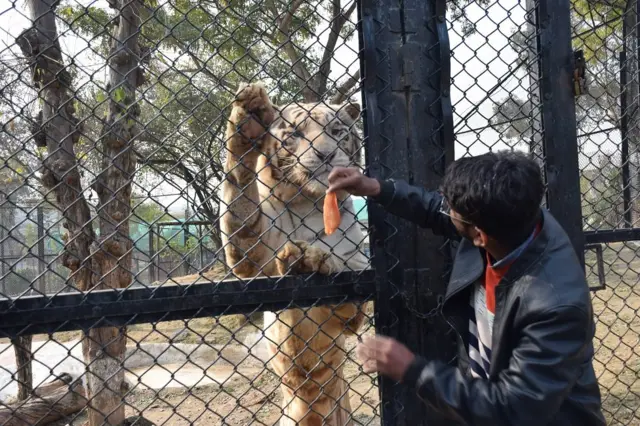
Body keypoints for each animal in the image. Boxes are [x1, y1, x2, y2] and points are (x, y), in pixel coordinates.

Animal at [175, 82, 370, 425]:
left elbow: (345, 269)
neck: (308, 202)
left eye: (336, 131)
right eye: (295, 133)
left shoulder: (359, 269)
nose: (326, 153)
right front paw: (250, 117)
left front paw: (311, 257)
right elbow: (239, 199)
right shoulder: (251, 252)